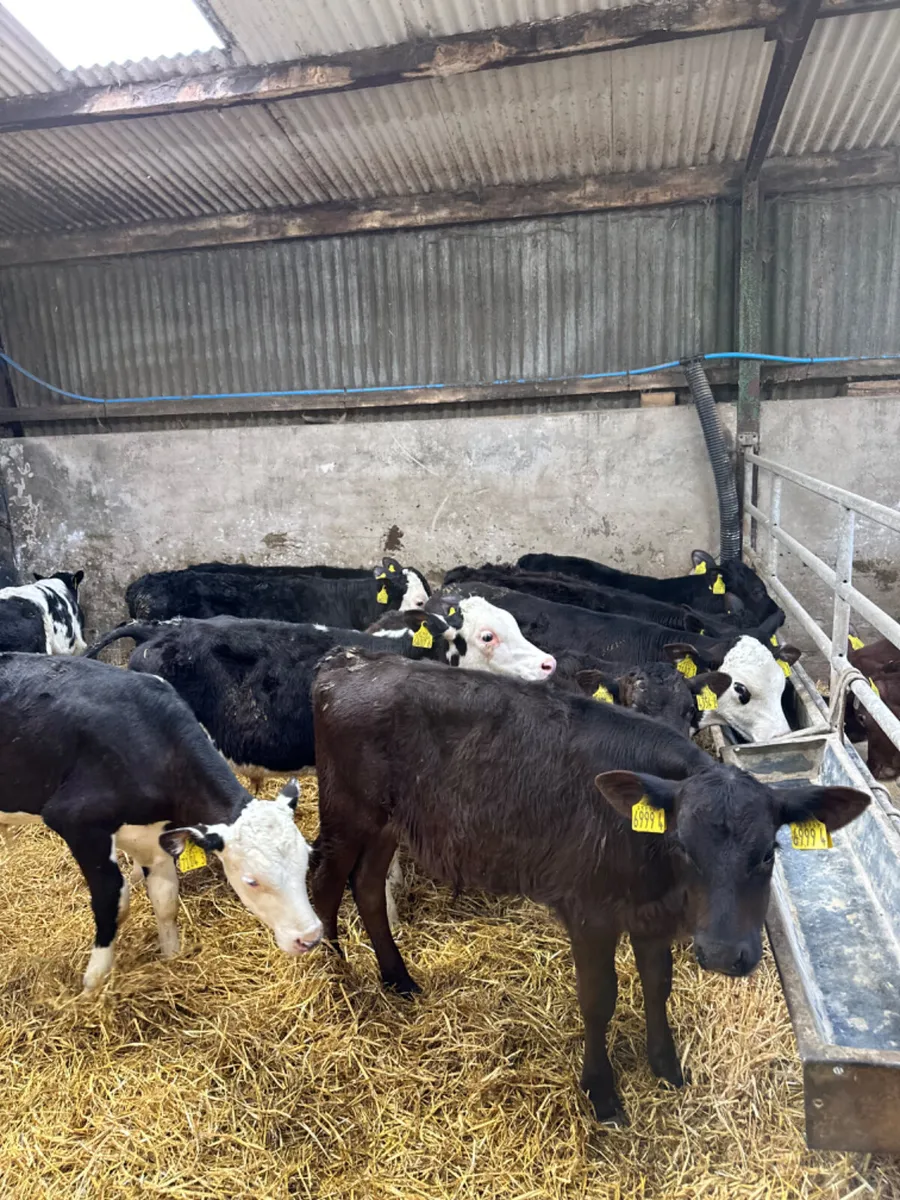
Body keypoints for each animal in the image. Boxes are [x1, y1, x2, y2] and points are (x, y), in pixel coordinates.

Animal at [0, 653, 322, 992]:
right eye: (252, 881)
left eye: (306, 862)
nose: (311, 937)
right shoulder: (79, 824)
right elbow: (113, 902)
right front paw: (93, 983)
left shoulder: (155, 837)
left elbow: (166, 899)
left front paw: (172, 957)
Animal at [310, 651, 869, 1124]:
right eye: (684, 846)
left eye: (768, 853)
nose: (723, 954)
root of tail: (346, 663)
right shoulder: (589, 913)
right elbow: (599, 999)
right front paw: (602, 1092)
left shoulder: (652, 917)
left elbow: (658, 985)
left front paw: (666, 1066)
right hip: (348, 810)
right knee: (324, 879)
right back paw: (336, 975)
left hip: (387, 820)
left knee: (366, 884)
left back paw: (397, 978)